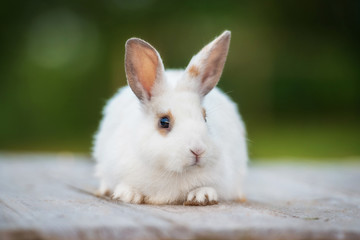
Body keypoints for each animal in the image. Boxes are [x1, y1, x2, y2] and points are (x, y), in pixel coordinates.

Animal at [93, 31, 248, 205]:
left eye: (205, 118)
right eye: (164, 122)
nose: (198, 150)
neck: (172, 172)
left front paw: (202, 196)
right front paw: (128, 194)